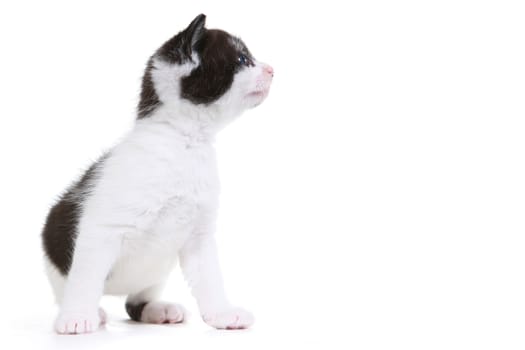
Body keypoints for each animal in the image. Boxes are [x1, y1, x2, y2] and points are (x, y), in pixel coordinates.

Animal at [41, 14, 274, 336]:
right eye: (242, 59)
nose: (271, 69)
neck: (185, 143)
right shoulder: (101, 230)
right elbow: (86, 277)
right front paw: (76, 317)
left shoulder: (199, 237)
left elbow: (211, 279)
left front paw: (222, 313)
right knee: (74, 287)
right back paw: (92, 311)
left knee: (135, 302)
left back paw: (157, 309)